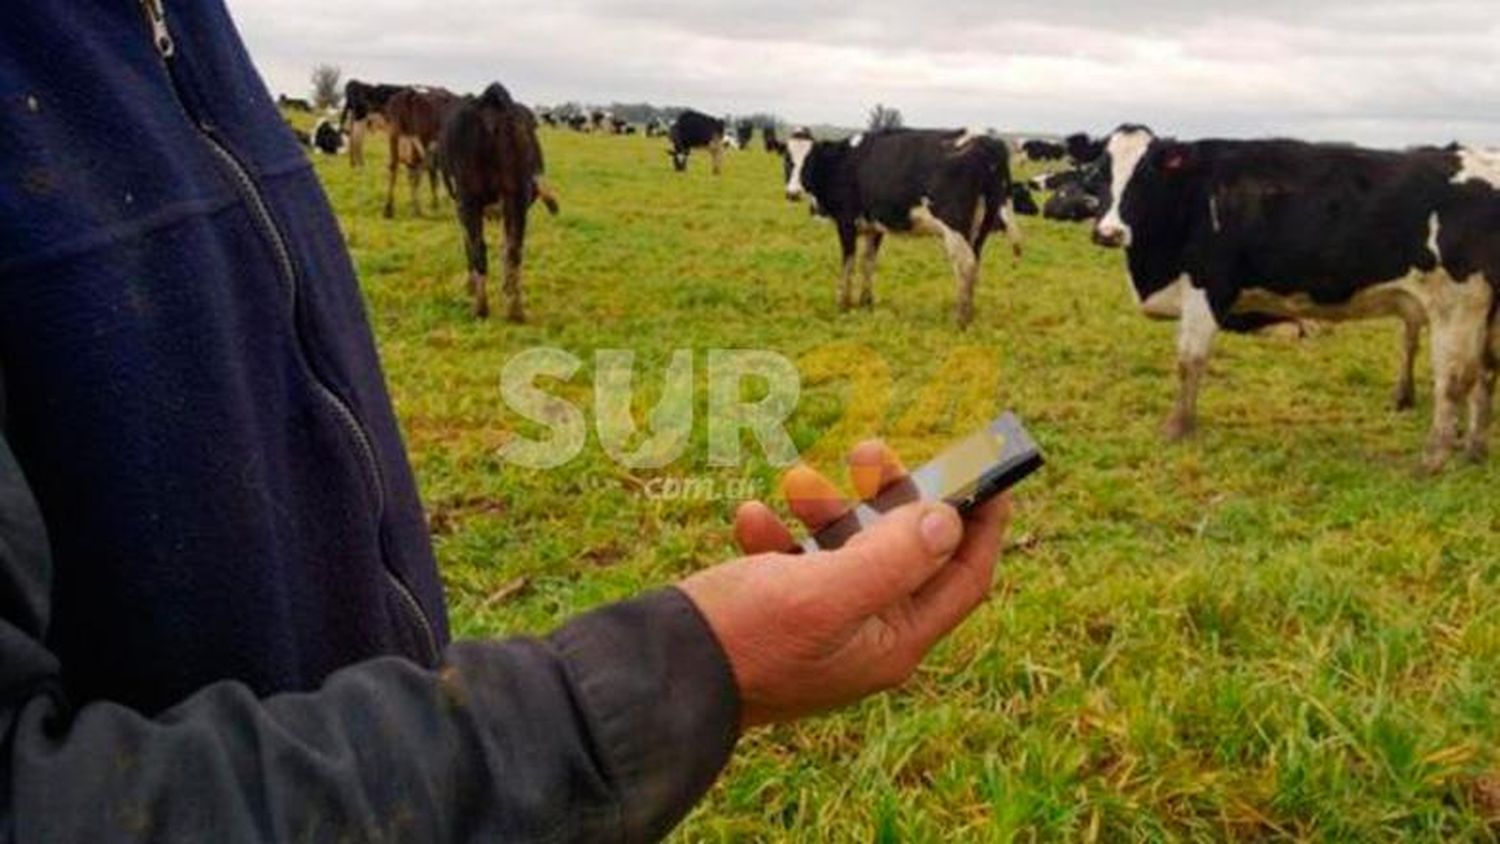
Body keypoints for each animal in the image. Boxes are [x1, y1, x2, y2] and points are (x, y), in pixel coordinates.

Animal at [384, 84, 459, 217]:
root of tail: (409, 94)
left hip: (395, 137)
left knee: (396, 168)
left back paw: (390, 208)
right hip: (417, 141)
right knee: (414, 174)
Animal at [441, 83, 564, 320]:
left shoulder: (461, 205)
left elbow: (470, 243)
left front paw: (471, 286)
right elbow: (504, 244)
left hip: (473, 198)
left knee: (482, 248)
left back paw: (483, 307)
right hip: (515, 197)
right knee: (512, 249)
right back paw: (513, 310)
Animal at [780, 128, 1026, 326]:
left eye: (810, 161)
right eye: (788, 160)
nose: (792, 193)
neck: (842, 163)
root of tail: (988, 142)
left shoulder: (846, 221)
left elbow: (848, 262)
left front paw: (843, 304)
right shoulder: (874, 226)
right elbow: (867, 262)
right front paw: (865, 302)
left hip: (954, 226)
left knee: (965, 264)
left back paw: (961, 319)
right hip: (980, 226)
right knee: (974, 263)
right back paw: (970, 313)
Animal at [1092, 125, 1500, 473]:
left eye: (1145, 175)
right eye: (1098, 173)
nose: (1108, 232)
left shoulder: (1206, 288)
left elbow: (1189, 362)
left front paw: (1177, 428)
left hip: (1457, 306)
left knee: (1453, 381)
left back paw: (1432, 460)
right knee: (1486, 373)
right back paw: (1474, 450)